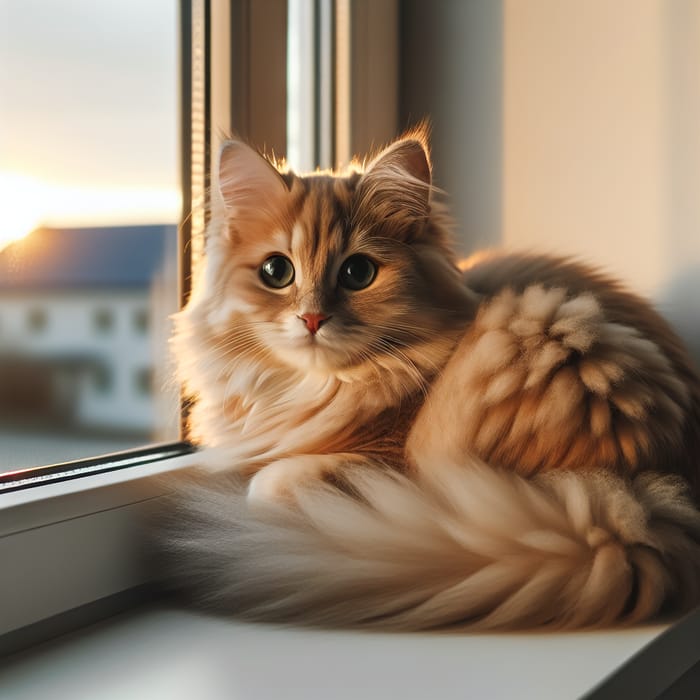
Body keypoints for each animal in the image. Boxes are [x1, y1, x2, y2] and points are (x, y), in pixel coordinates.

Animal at [157, 130, 700, 628]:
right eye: (276, 271)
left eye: (357, 273)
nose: (312, 319)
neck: (314, 389)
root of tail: (642, 510)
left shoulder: (383, 462)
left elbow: (267, 483)